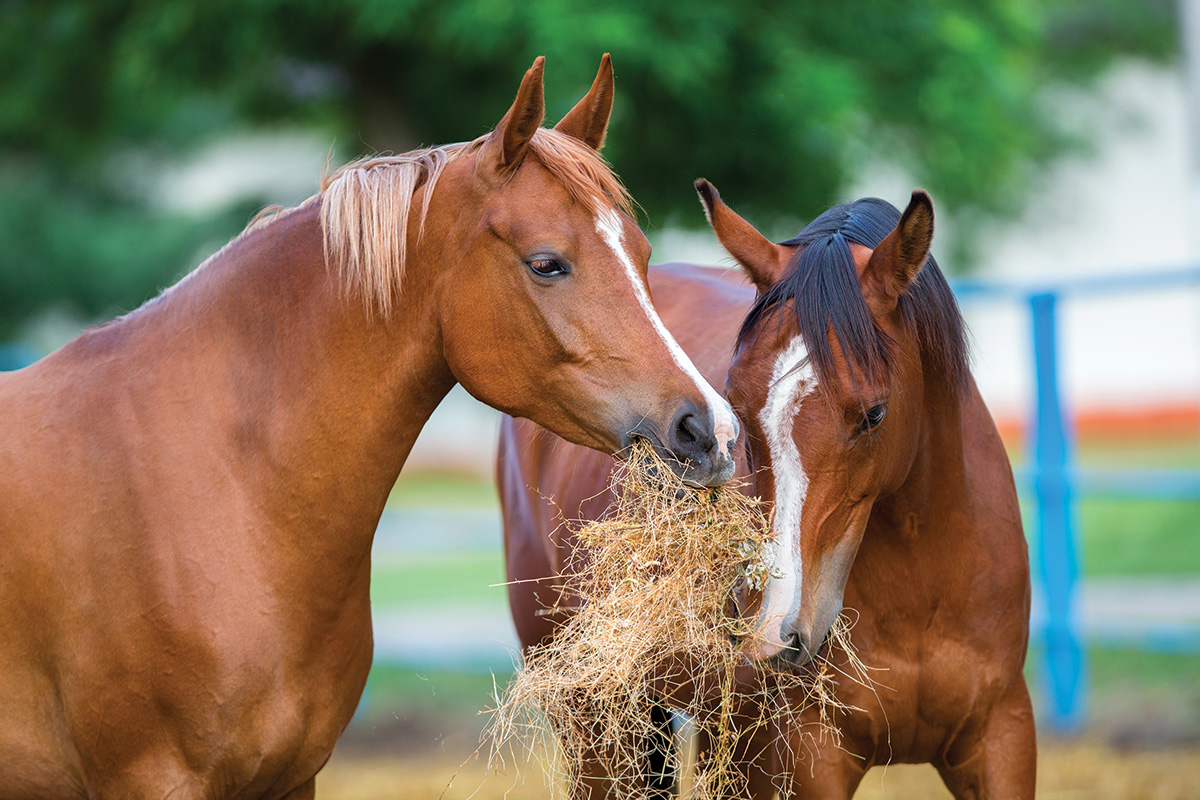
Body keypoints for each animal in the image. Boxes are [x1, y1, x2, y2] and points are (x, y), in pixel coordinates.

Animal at [0, 57, 739, 800]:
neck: (219, 488)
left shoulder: (292, 777)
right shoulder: (154, 780)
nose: (709, 432)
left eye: (641, 252)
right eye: (546, 263)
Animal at [496, 184, 1032, 796]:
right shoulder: (807, 759)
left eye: (874, 414)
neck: (922, 585)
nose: (776, 631)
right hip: (597, 727)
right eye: (738, 405)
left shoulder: (1001, 738)